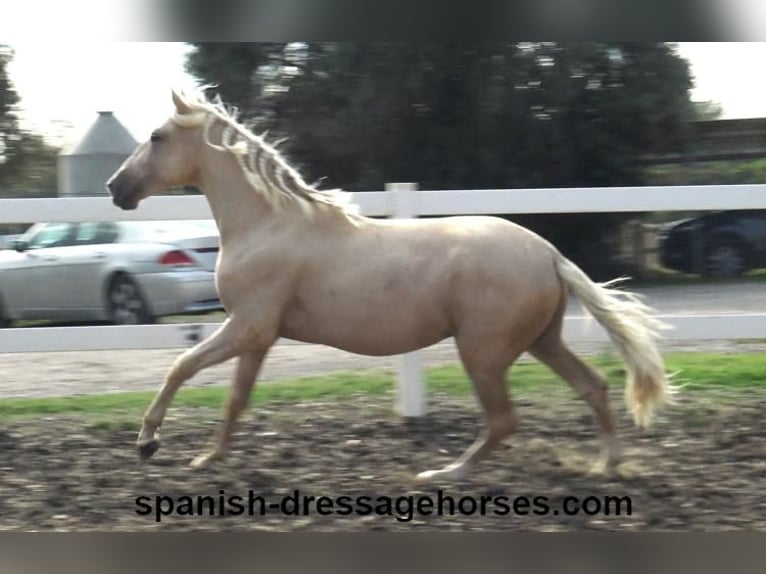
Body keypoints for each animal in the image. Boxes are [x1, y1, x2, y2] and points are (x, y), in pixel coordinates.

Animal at [106, 90, 672, 482]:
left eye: (156, 137)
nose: (116, 188)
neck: (269, 223)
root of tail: (550, 255)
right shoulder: (259, 337)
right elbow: (235, 400)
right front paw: (208, 458)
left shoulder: (247, 327)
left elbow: (181, 367)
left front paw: (148, 442)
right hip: (540, 341)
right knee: (593, 387)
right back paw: (606, 466)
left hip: (484, 352)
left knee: (504, 420)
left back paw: (446, 474)